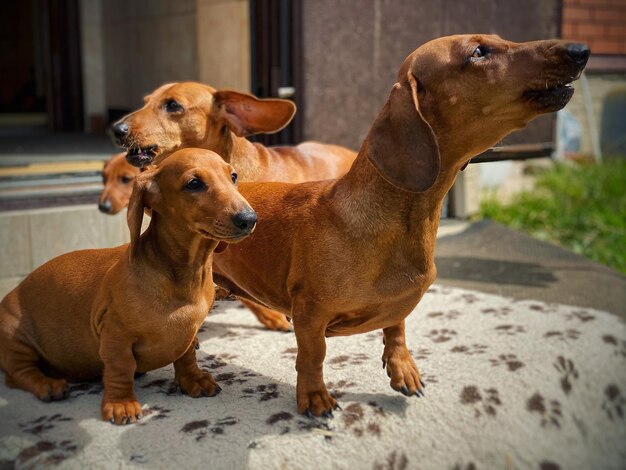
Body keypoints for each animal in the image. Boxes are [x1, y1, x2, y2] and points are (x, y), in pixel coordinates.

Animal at [0, 149, 256, 424]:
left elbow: (187, 355)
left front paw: (193, 380)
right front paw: (121, 403)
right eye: (194, 184)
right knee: (17, 374)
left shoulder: (189, 330)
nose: (249, 219)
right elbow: (121, 368)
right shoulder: (116, 336)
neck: (183, 274)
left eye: (233, 176)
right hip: (15, 335)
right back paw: (48, 385)